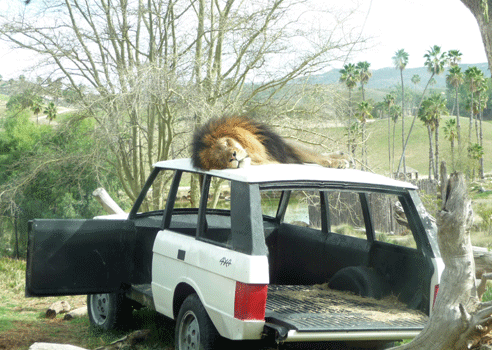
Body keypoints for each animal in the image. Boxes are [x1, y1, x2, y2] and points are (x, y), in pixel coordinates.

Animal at [190, 116, 352, 171]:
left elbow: (315, 155)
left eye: (226, 143)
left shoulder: (282, 147)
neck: (257, 156)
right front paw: (338, 161)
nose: (233, 156)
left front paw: (338, 162)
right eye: (220, 160)